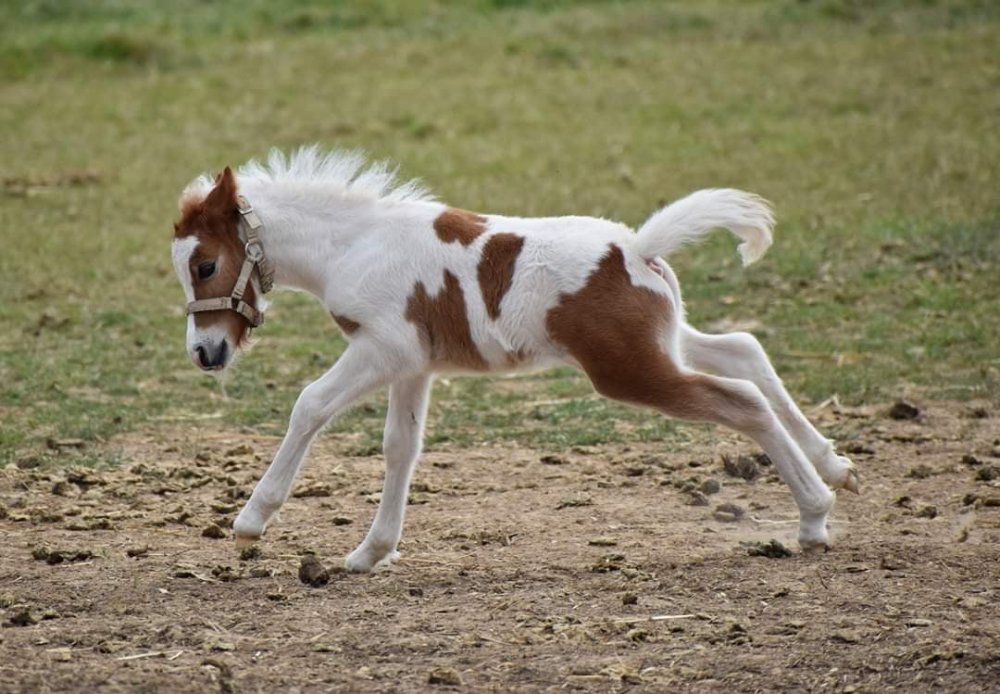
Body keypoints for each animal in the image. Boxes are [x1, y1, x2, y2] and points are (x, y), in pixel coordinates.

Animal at [172, 148, 860, 572]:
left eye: (205, 265)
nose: (206, 353)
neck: (354, 243)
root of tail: (636, 247)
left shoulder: (382, 348)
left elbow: (309, 405)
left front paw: (252, 519)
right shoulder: (414, 365)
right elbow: (401, 448)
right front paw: (372, 552)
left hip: (629, 370)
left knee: (741, 399)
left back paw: (813, 516)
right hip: (661, 343)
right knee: (745, 351)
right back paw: (837, 468)